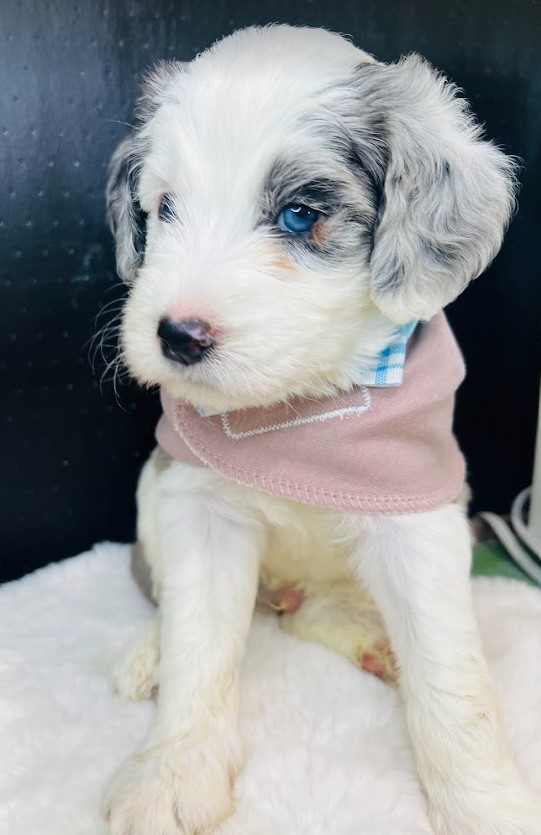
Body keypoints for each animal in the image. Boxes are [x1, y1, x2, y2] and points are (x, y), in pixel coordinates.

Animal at [102, 22, 540, 835]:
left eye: (301, 214)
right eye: (165, 208)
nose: (176, 335)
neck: (302, 407)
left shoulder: (417, 513)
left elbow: (451, 679)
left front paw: (486, 804)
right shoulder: (197, 503)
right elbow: (199, 641)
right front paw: (172, 772)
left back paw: (372, 638)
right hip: (155, 486)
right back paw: (151, 652)